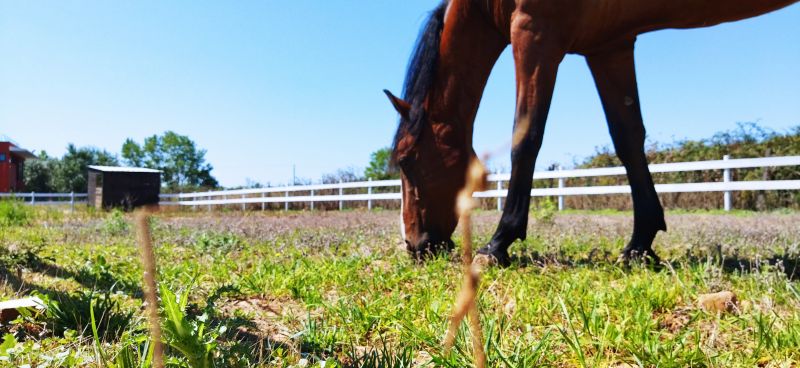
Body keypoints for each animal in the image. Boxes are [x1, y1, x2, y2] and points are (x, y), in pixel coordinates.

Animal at [384, 0, 796, 266]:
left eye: (405, 160)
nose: (412, 244)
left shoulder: (534, 31)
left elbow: (526, 137)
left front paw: (499, 243)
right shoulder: (610, 47)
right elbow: (628, 139)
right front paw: (640, 245)